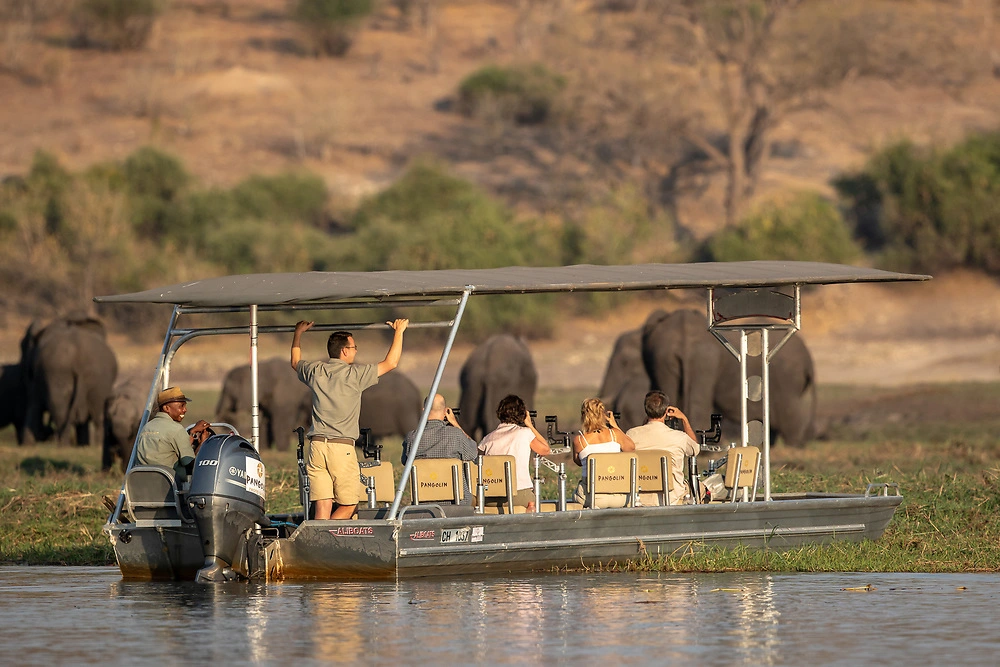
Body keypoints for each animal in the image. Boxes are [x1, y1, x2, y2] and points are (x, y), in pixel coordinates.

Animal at [18, 314, 118, 448]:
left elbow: (33, 405)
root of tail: (79, 359)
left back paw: (63, 446)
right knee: (99, 414)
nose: (47, 433)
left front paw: (27, 445)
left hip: (57, 372)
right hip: (99, 379)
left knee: (60, 411)